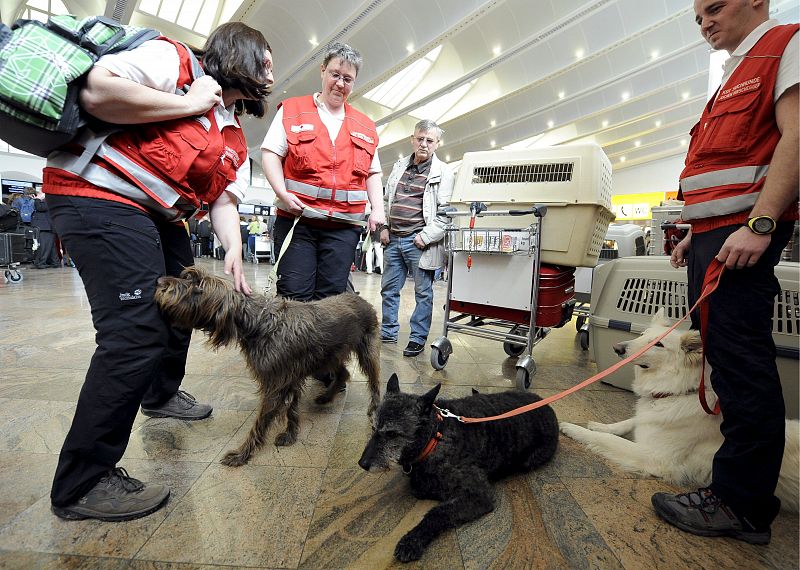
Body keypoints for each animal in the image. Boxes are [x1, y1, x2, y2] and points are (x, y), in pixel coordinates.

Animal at [157, 264, 384, 464]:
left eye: (198, 286)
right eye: (188, 278)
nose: (160, 283)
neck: (260, 323)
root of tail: (360, 299)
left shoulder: (275, 386)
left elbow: (260, 423)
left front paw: (242, 454)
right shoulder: (290, 379)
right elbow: (291, 409)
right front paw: (291, 435)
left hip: (367, 352)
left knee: (374, 384)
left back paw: (374, 413)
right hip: (328, 356)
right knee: (343, 373)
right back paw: (327, 396)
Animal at [360, 374, 560, 560]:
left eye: (392, 434)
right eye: (373, 428)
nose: (362, 464)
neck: (435, 435)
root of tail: (547, 405)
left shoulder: (478, 494)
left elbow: (438, 512)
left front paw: (412, 540)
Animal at [560, 308, 796, 512]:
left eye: (659, 344)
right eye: (642, 335)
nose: (617, 348)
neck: (677, 392)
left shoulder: (655, 457)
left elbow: (607, 440)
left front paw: (574, 429)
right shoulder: (649, 417)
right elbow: (629, 421)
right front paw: (600, 425)